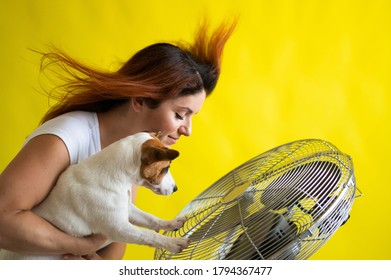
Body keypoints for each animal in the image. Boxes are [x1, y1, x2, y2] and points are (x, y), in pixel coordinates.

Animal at [0, 132, 190, 260]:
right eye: (165, 168)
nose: (176, 189)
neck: (115, 175)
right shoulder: (119, 228)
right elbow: (147, 235)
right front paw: (171, 243)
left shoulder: (126, 210)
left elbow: (151, 219)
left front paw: (172, 223)